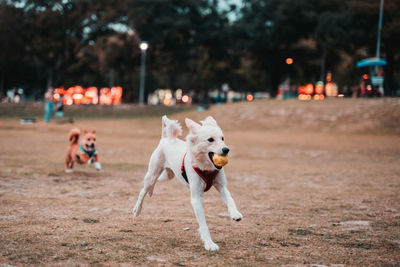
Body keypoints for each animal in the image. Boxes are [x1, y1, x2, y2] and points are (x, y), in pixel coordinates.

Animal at [133, 115, 242, 251]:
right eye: (210, 140)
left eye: (222, 138)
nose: (226, 150)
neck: (206, 167)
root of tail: (165, 138)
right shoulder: (196, 198)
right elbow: (203, 224)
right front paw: (209, 243)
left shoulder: (221, 186)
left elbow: (230, 199)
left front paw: (235, 214)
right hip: (152, 174)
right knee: (142, 191)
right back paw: (137, 209)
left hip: (168, 176)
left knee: (153, 185)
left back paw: (150, 192)